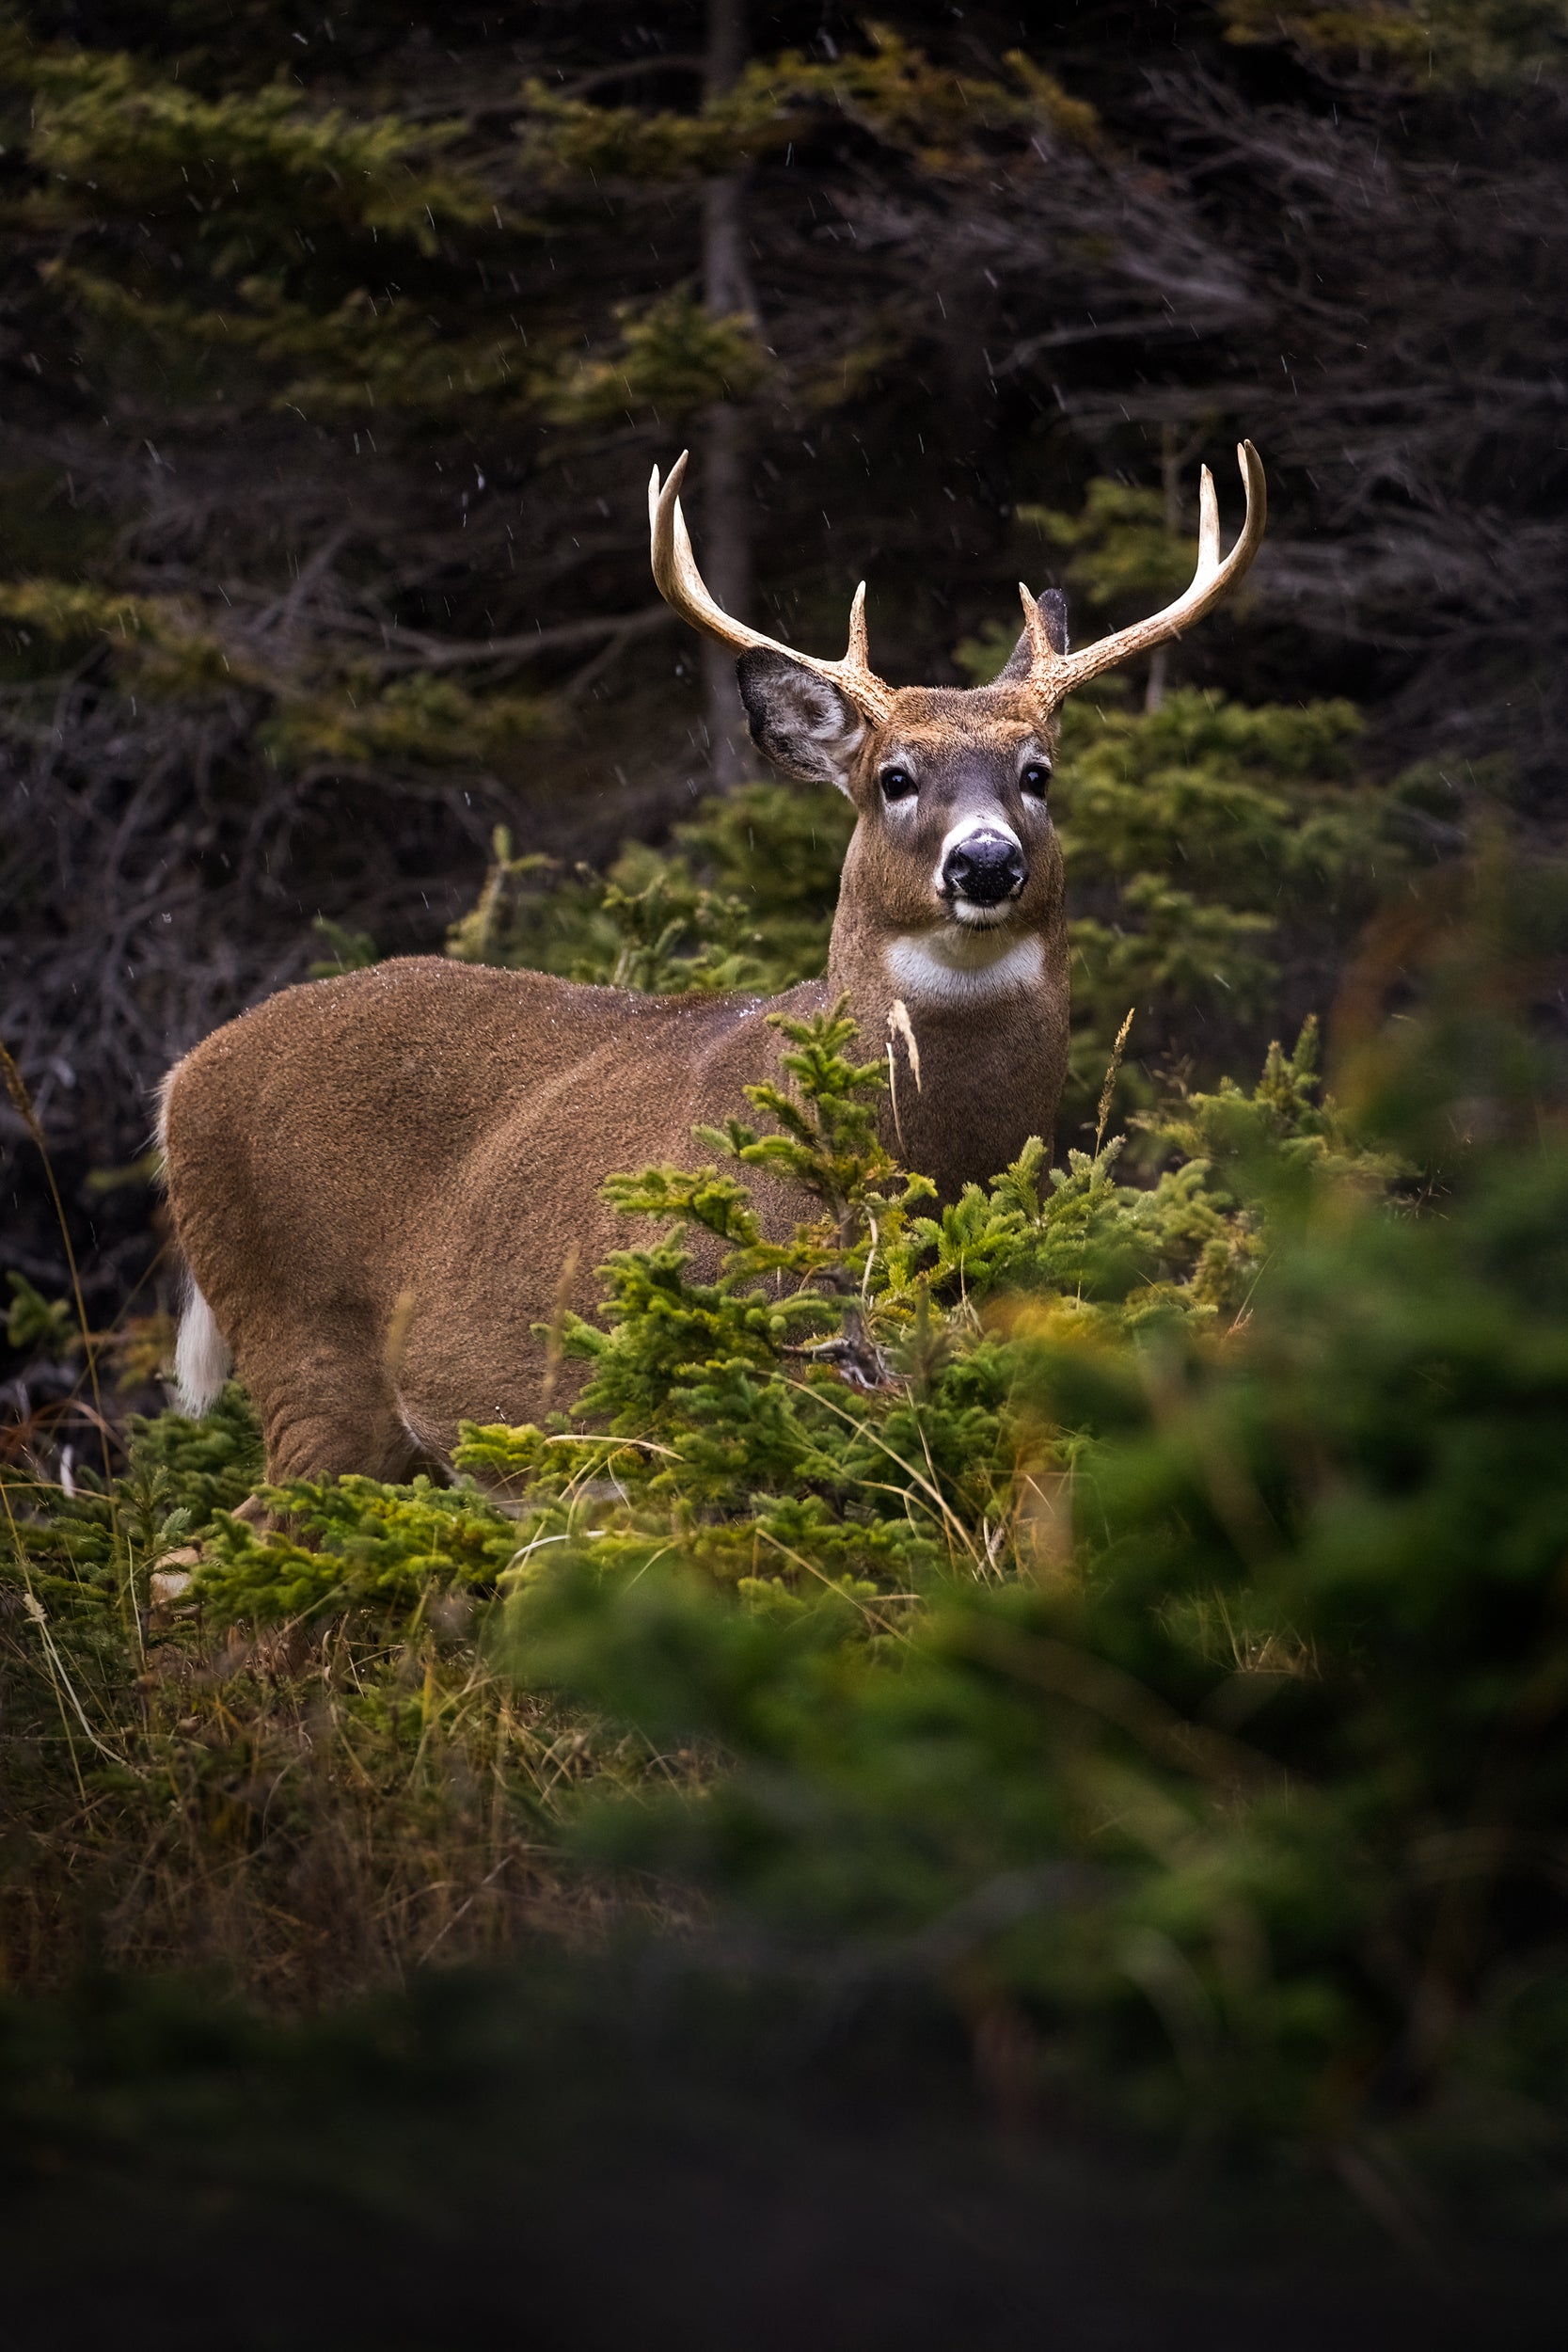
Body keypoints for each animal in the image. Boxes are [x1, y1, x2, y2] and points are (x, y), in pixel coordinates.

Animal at [158, 443, 1265, 1487]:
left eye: (1036, 774)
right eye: (892, 777)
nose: (985, 861)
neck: (914, 1168)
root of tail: (182, 1078)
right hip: (303, 1340)